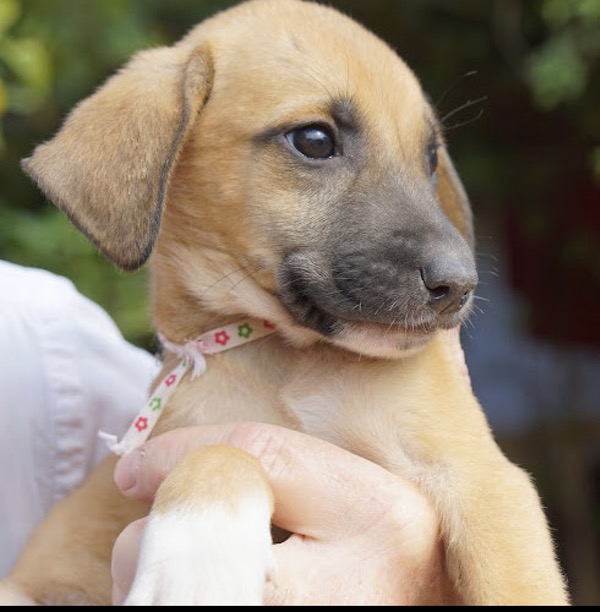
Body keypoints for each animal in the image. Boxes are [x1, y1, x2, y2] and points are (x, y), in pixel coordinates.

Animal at [2, 0, 568, 604]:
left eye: (430, 157)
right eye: (315, 140)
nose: (459, 286)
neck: (291, 363)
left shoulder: (482, 479)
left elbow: (517, 583)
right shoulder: (188, 441)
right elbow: (223, 450)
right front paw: (196, 564)